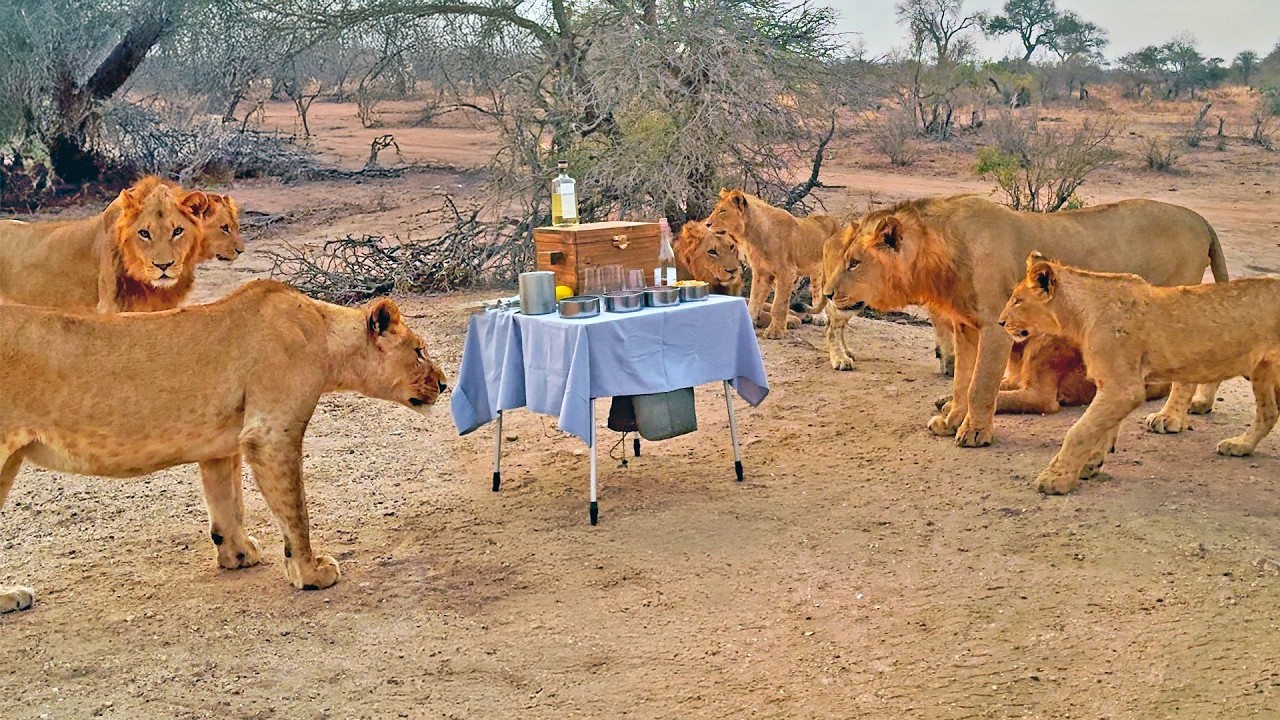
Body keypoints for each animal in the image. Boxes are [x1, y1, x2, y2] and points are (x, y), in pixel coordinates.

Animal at [0, 279, 448, 612]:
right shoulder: (271, 433)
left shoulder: (223, 443)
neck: (324, 333)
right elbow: (295, 510)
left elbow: (227, 503)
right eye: (420, 351)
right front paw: (309, 573)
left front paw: (238, 556)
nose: (444, 383)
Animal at [823, 195, 1229, 447]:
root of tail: (1200, 219)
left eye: (854, 263)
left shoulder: (995, 327)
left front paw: (974, 434)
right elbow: (961, 382)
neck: (939, 255)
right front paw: (951, 420)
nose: (826, 294)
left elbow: (979, 385)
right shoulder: (966, 328)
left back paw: (1169, 419)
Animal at [1000, 254, 1280, 495]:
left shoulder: (1124, 388)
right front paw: (1090, 464)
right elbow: (1102, 427)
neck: (1079, 314)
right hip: (1263, 372)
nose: (1001, 322)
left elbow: (1079, 431)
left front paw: (1056, 479)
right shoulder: (1115, 385)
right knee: (1269, 414)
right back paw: (1240, 445)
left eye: (1017, 300)